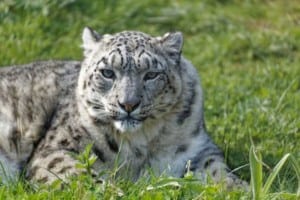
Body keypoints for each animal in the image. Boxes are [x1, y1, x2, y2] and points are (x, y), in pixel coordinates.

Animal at [0, 27, 247, 188]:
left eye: (151, 74)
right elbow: (81, 176)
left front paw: (242, 189)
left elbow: (220, 172)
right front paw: (112, 192)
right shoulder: (56, 151)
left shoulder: (198, 151)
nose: (128, 103)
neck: (140, 144)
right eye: (107, 72)